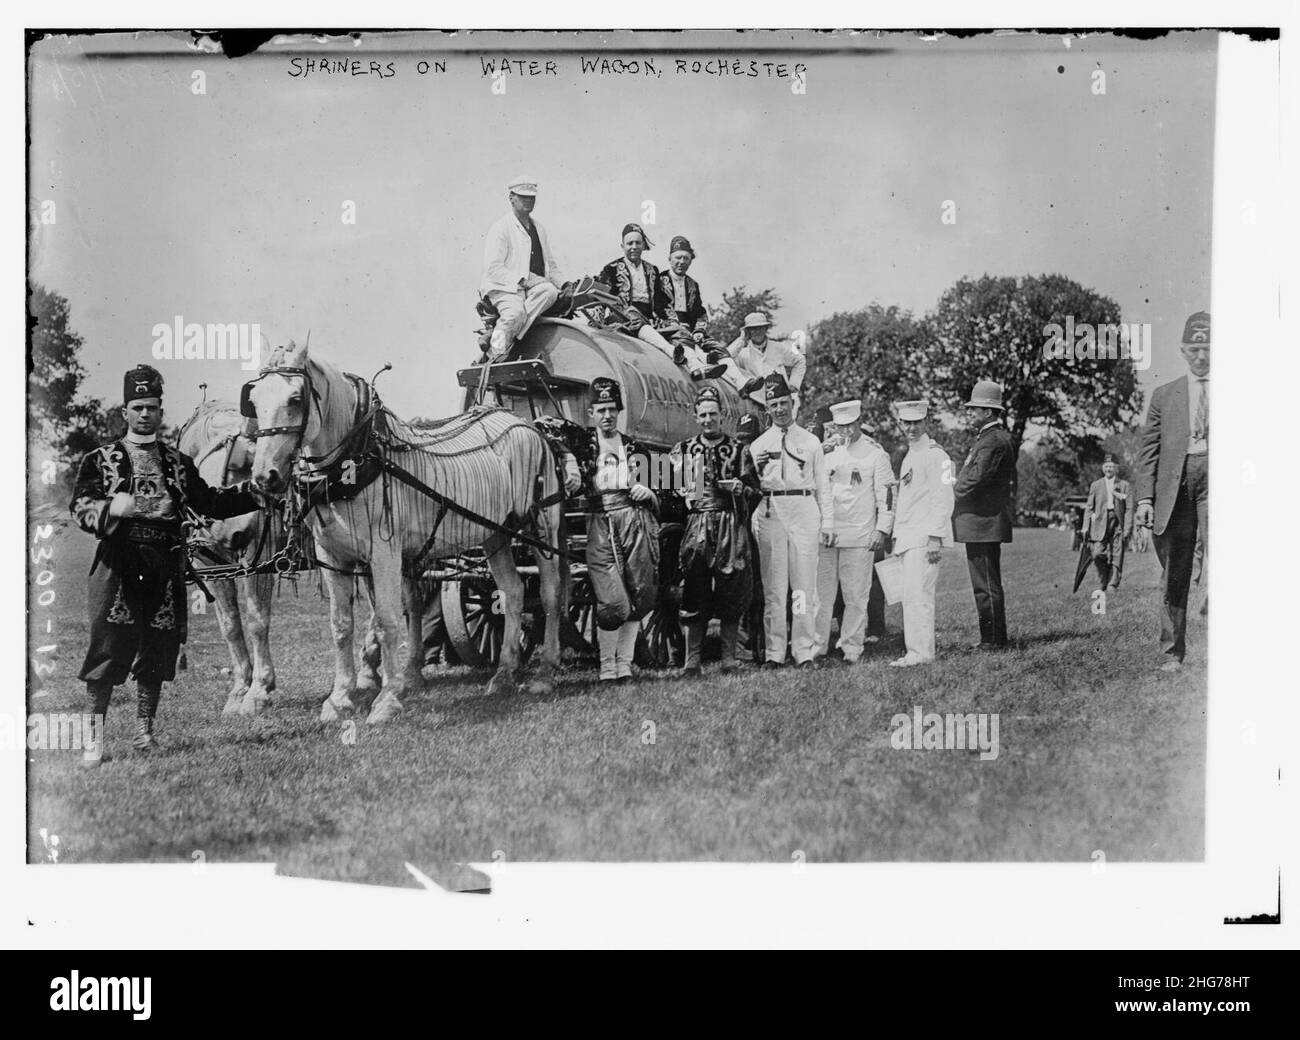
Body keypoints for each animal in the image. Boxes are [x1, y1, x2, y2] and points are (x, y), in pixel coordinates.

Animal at [245, 340, 566, 722]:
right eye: (253, 400)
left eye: (295, 398)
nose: (264, 477)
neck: (356, 460)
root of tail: (525, 424)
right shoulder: (333, 556)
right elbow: (341, 625)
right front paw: (339, 699)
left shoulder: (384, 552)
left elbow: (387, 621)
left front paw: (386, 699)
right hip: (496, 534)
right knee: (513, 592)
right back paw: (503, 673)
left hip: (540, 525)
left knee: (549, 593)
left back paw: (545, 672)